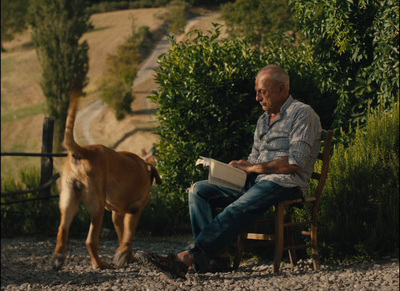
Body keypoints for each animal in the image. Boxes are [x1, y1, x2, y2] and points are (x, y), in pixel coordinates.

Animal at [51, 89, 161, 272]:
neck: (146, 165)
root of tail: (82, 151)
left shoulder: (117, 214)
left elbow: (122, 235)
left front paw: (127, 255)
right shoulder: (135, 209)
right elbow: (129, 234)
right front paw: (124, 254)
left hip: (68, 201)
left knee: (62, 230)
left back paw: (58, 259)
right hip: (97, 207)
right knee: (90, 240)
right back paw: (99, 263)